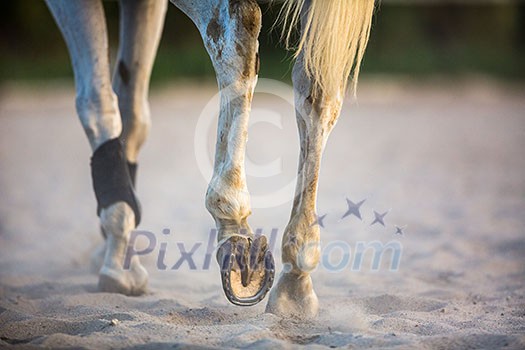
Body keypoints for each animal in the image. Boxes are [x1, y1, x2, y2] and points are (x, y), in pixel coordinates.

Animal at [45, 0, 372, 318]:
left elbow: (97, 102)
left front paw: (117, 255)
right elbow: (132, 110)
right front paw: (117, 241)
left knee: (238, 29)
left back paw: (234, 227)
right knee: (317, 85)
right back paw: (296, 281)